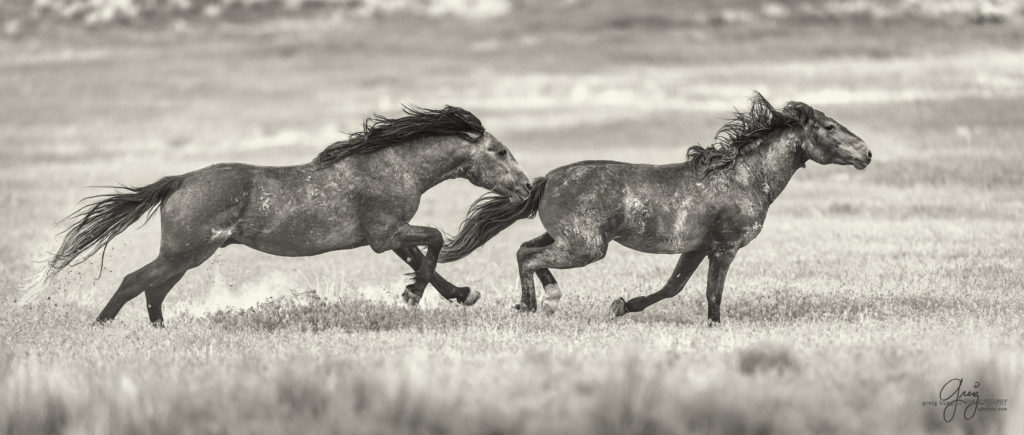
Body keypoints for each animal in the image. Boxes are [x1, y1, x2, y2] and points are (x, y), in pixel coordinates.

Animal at [36, 104, 532, 325]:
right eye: (500, 151)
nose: (527, 188)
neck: (394, 165)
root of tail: (179, 181)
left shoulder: (387, 235)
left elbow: (423, 257)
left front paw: (458, 293)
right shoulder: (385, 233)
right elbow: (434, 242)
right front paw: (414, 296)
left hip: (187, 256)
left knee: (153, 290)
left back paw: (158, 330)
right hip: (185, 253)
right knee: (134, 282)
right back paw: (102, 326)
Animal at [440, 91, 872, 321]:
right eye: (829, 126)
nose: (867, 153)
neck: (743, 177)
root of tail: (545, 180)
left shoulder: (698, 248)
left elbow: (672, 287)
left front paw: (621, 306)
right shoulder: (724, 248)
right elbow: (712, 293)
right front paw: (715, 326)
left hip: (566, 239)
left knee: (524, 250)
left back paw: (541, 299)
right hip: (586, 247)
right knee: (529, 257)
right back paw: (535, 304)